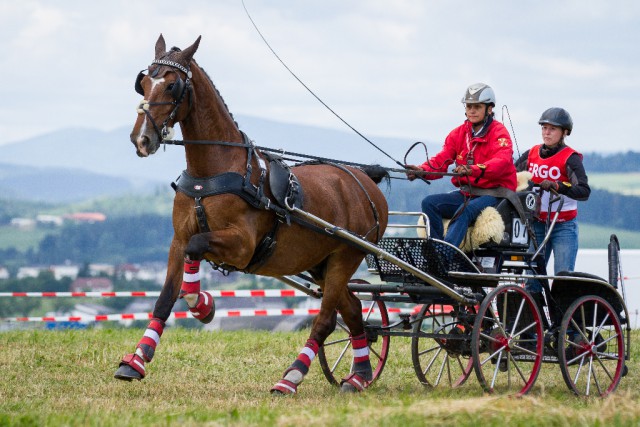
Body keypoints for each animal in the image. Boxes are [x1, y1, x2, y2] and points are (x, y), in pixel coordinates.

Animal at [112, 35, 388, 396]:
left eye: (172, 85)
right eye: (143, 83)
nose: (141, 139)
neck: (213, 171)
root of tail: (366, 182)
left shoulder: (241, 246)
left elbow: (197, 249)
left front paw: (202, 305)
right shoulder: (178, 240)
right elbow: (166, 297)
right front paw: (136, 360)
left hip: (347, 254)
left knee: (327, 319)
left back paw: (292, 376)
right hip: (321, 265)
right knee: (354, 311)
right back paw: (359, 375)